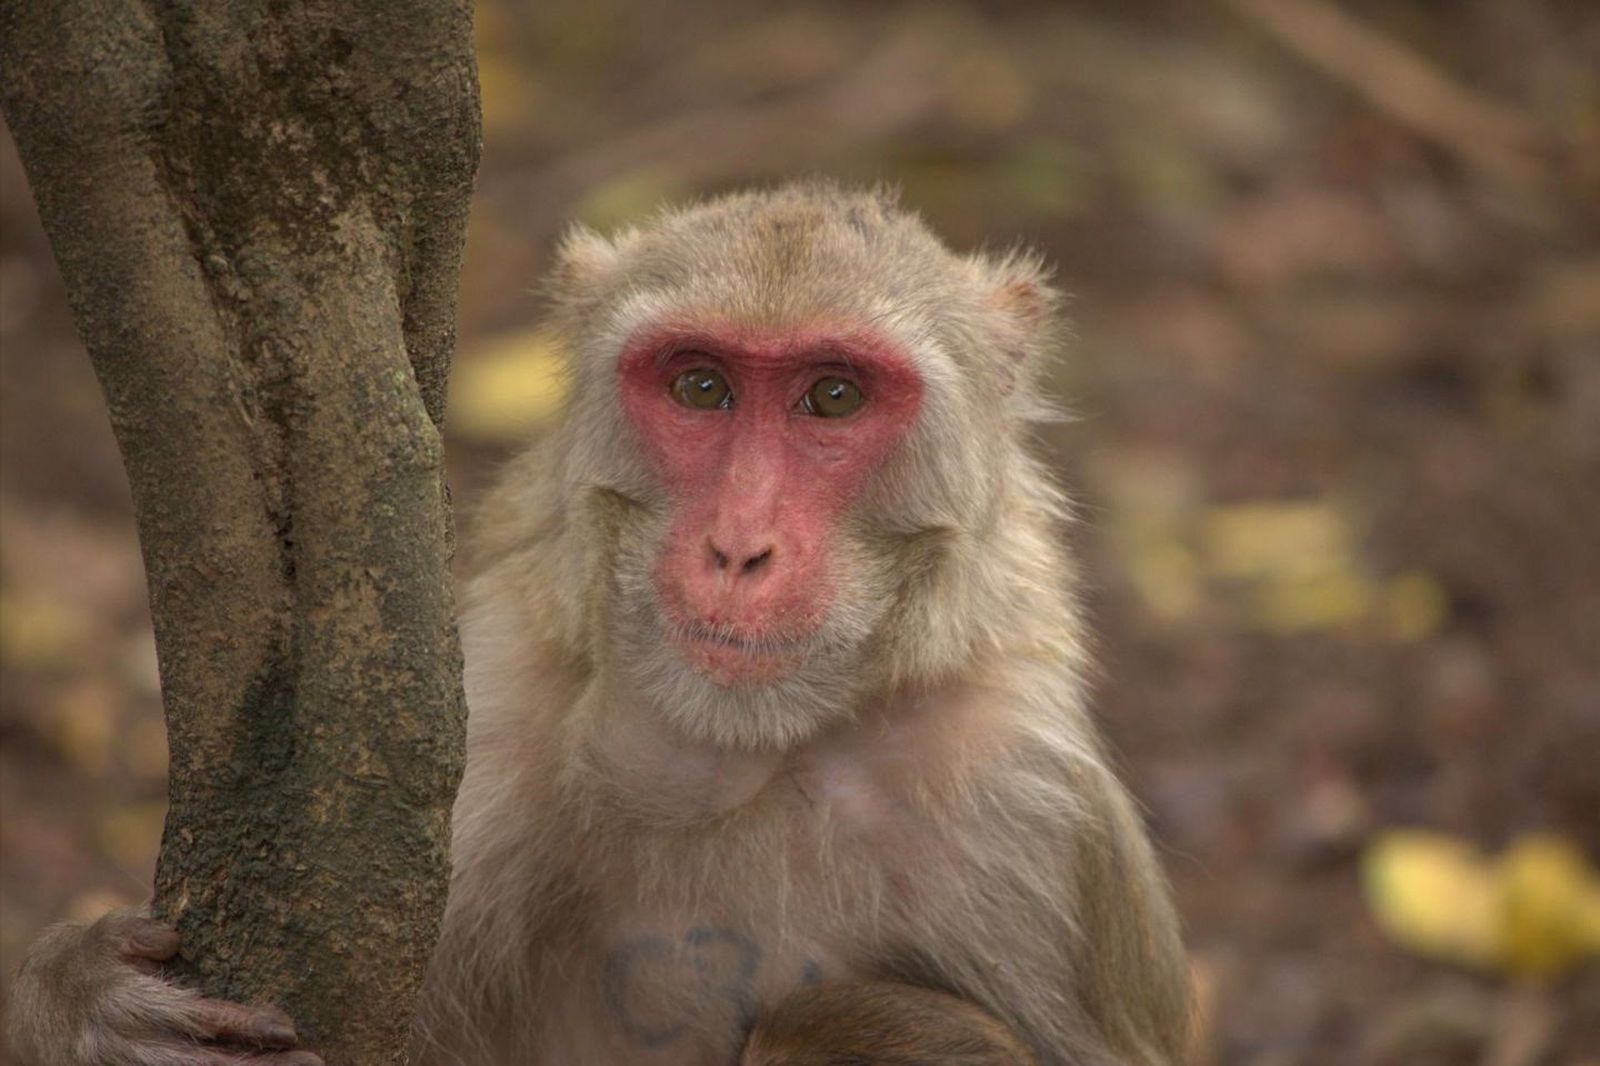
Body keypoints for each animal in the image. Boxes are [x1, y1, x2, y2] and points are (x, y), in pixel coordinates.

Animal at [8, 182, 1190, 1066]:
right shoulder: (476, 758)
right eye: (702, 387)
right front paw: (74, 1004)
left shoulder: (1024, 816)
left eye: (835, 397)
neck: (739, 756)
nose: (738, 547)